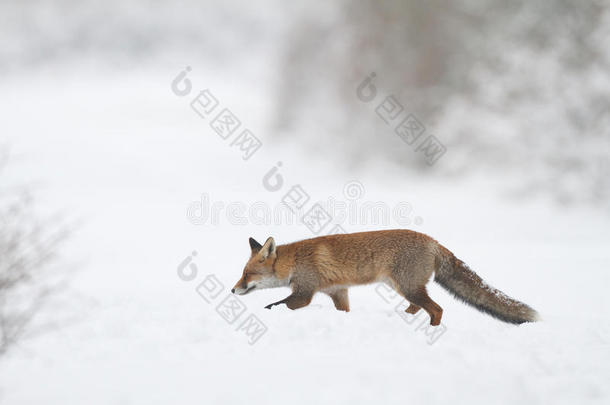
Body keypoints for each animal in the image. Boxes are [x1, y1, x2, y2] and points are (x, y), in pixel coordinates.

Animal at [229, 229, 536, 324]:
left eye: (246, 274)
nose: (232, 290)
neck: (294, 261)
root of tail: (433, 241)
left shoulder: (304, 293)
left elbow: (274, 305)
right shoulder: (338, 292)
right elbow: (344, 310)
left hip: (408, 286)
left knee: (436, 309)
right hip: (403, 287)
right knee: (417, 308)